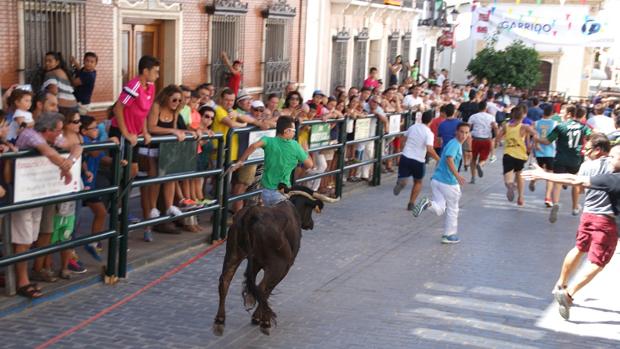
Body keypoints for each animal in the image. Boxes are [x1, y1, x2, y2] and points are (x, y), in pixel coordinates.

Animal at [214, 186, 340, 336]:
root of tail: (253, 213)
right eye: (310, 210)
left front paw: (251, 301)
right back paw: (265, 322)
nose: (311, 224)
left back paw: (220, 321)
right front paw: (258, 316)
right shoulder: (284, 266)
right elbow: (268, 288)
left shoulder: (255, 262)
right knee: (262, 287)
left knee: (225, 281)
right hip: (279, 264)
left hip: (233, 254)